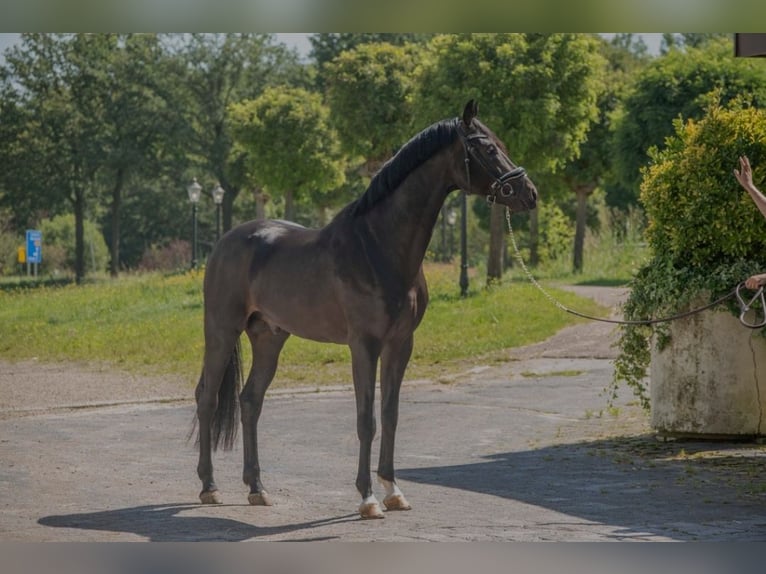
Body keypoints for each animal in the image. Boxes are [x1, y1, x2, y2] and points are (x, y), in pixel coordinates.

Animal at [194, 100, 540, 520]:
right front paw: (368, 497)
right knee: (207, 399)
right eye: (487, 148)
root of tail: (225, 242)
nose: (529, 193)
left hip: (269, 338)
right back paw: (209, 487)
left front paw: (393, 490)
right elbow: (366, 419)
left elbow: (390, 415)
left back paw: (257, 488)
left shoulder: (400, 344)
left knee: (249, 402)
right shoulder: (364, 345)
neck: (379, 247)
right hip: (221, 331)